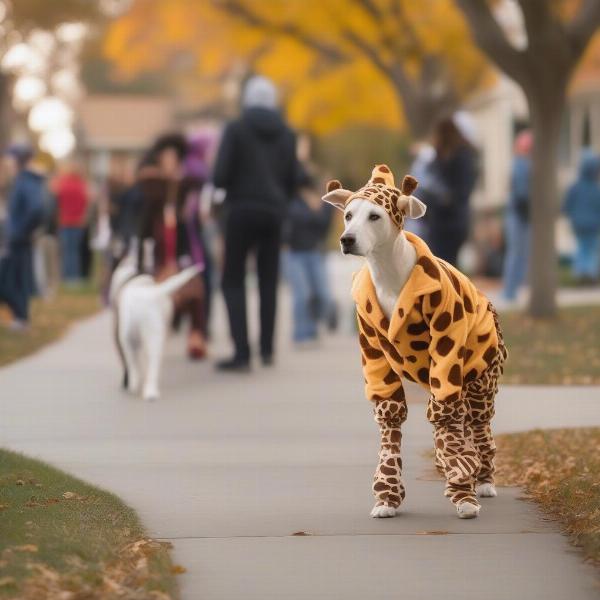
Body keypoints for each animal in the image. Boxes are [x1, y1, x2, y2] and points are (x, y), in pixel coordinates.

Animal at [109, 251, 200, 400]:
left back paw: (135, 385)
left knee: (134, 365)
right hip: (154, 335)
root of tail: (151, 294)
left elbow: (128, 364)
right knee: (153, 364)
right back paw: (150, 392)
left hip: (128, 337)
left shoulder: (120, 337)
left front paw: (127, 382)